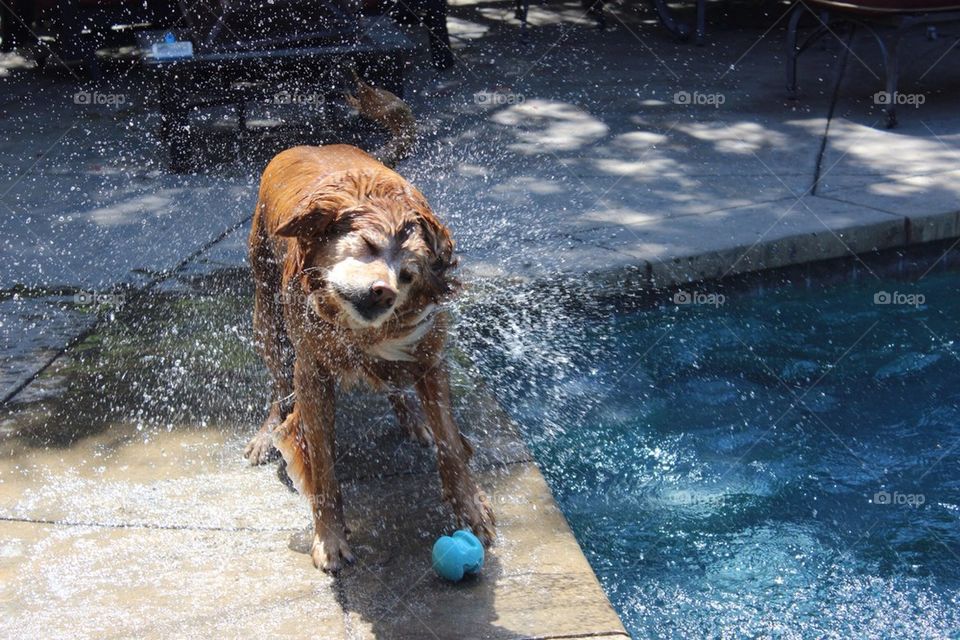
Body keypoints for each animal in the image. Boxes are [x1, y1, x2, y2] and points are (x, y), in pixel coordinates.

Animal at [244, 84, 496, 568]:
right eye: (365, 244)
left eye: (409, 275)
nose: (383, 292)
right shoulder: (312, 370)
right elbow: (322, 464)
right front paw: (329, 537)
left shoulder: (428, 353)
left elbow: (450, 442)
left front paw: (470, 506)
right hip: (267, 315)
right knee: (277, 387)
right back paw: (267, 433)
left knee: (396, 386)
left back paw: (411, 418)